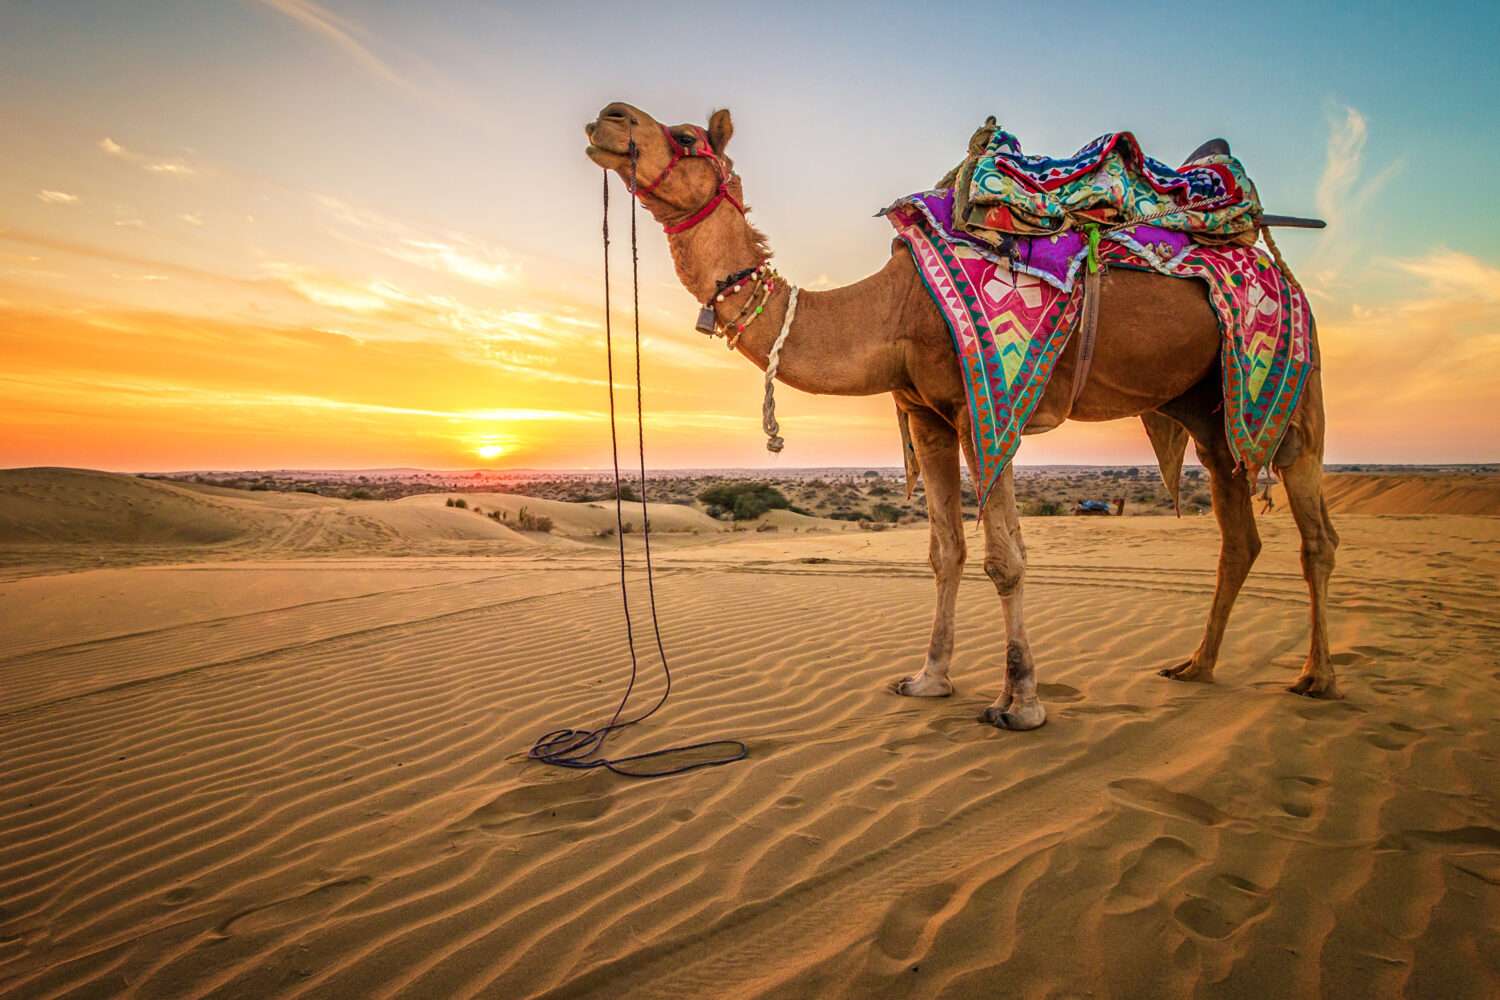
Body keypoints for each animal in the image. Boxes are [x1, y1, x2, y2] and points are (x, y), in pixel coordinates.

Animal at [582, 103, 1338, 728]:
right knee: (1237, 530)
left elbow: (1006, 557)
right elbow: (945, 551)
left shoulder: (987, 408)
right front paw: (929, 678)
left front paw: (1020, 701)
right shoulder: (928, 418)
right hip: (1207, 409)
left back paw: (1316, 677)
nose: (609, 117)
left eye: (686, 137)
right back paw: (1196, 666)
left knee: (1314, 531)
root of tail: (1273, 263)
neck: (890, 308)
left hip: (1295, 384)